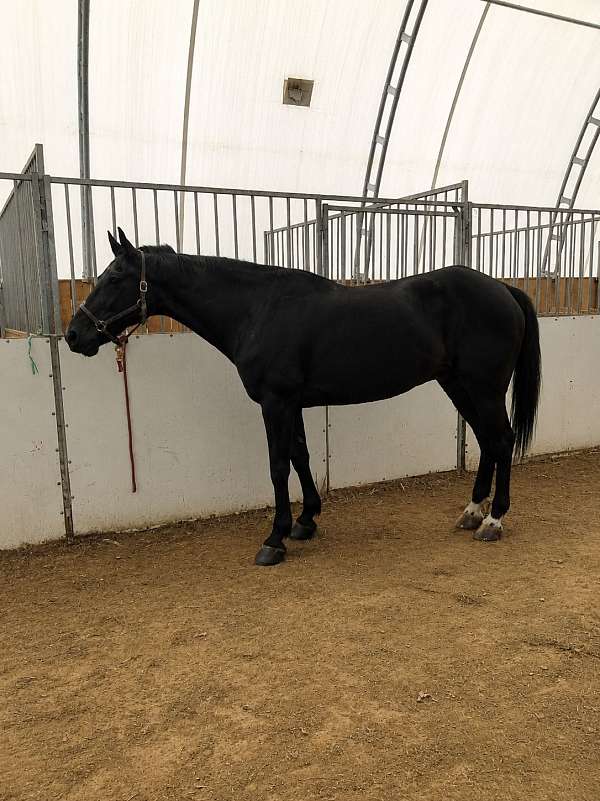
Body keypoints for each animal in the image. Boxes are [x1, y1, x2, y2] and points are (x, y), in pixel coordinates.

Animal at [66, 228, 541, 566]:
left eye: (115, 277)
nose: (74, 335)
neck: (257, 309)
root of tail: (503, 289)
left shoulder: (275, 402)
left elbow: (278, 466)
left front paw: (274, 539)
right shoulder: (290, 403)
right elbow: (300, 456)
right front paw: (306, 520)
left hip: (482, 386)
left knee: (500, 441)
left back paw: (493, 520)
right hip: (457, 385)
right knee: (486, 442)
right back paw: (471, 512)